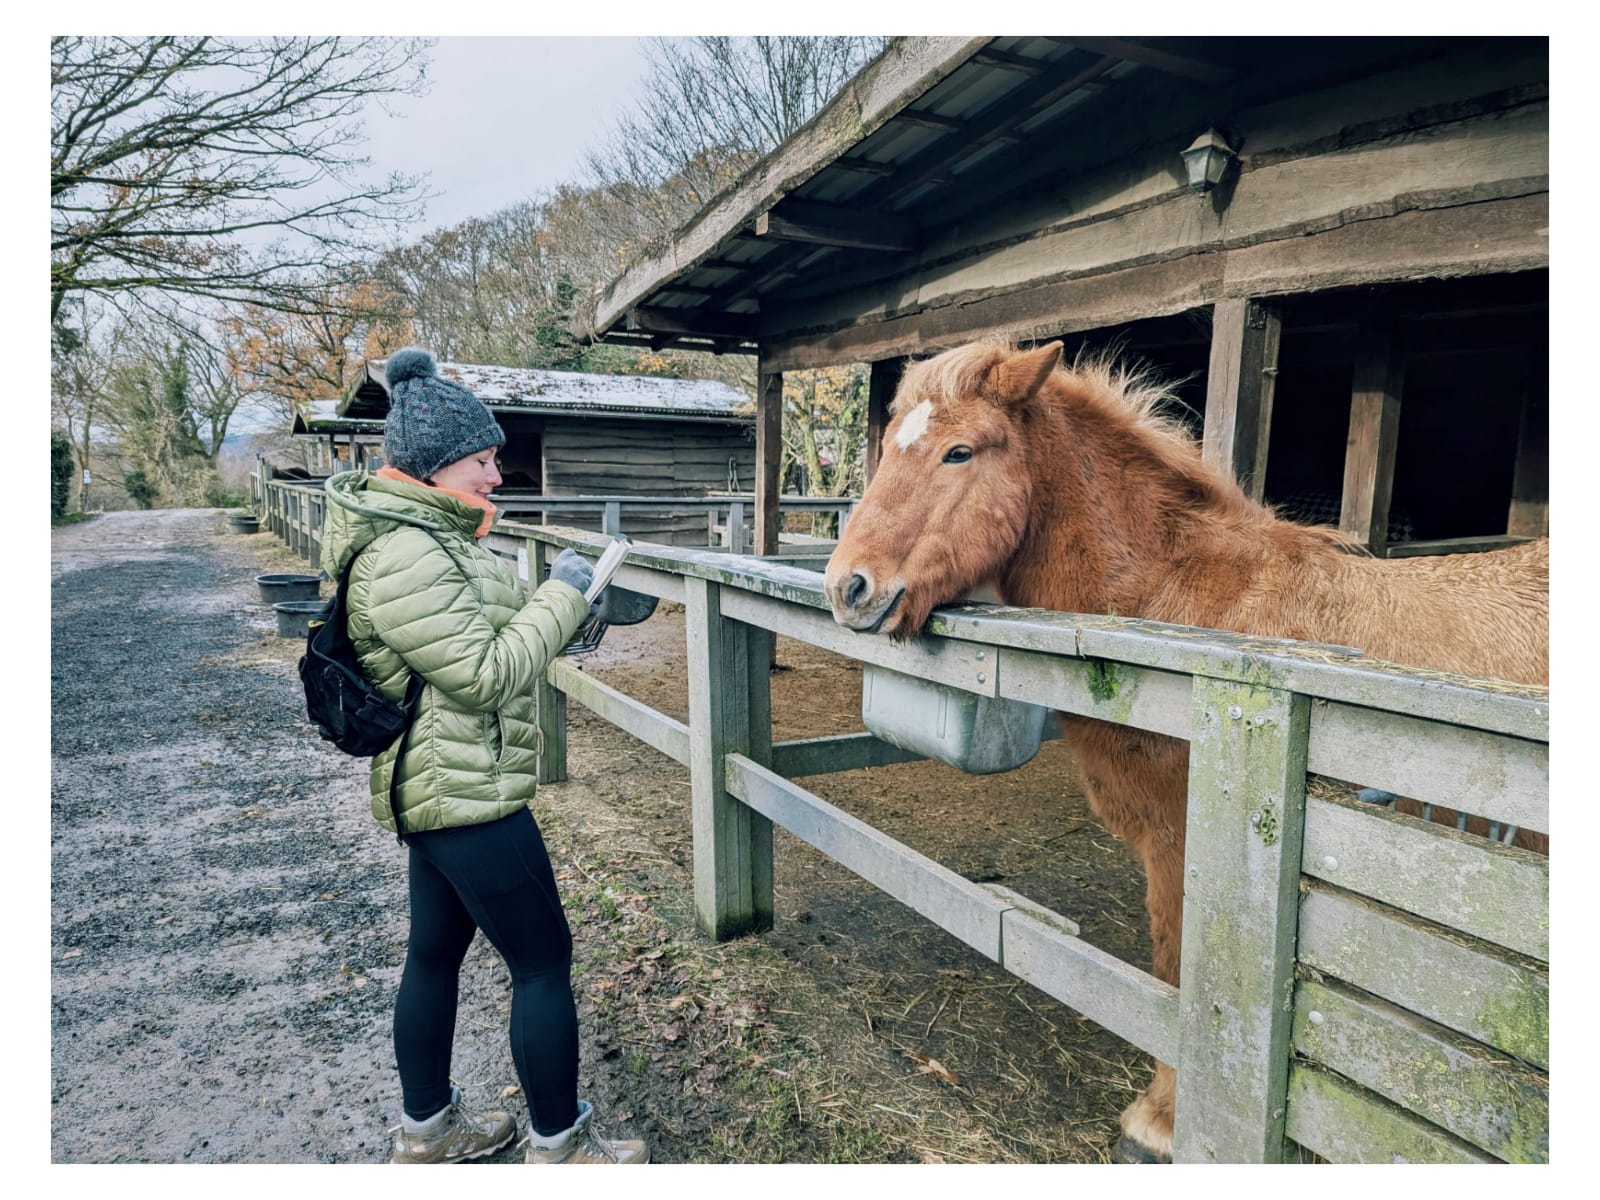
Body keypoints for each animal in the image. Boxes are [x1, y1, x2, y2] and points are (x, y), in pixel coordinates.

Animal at [819, 339, 1542, 1164]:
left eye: (958, 452)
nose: (847, 588)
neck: (1181, 619)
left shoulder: (1185, 846)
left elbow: (1175, 974)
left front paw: (1162, 1121)